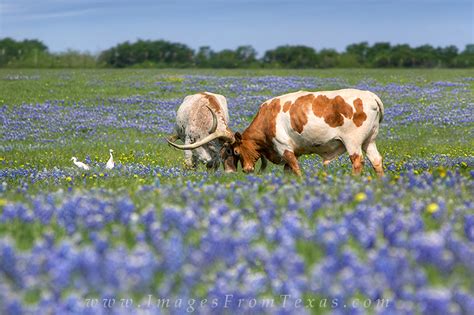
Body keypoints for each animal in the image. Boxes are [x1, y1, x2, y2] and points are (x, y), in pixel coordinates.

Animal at [228, 89, 384, 177]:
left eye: (236, 151)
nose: (246, 170)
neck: (267, 117)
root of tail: (370, 95)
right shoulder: (294, 151)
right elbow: (288, 171)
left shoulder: (284, 148)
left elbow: (296, 168)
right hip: (369, 141)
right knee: (376, 161)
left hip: (353, 142)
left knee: (357, 161)